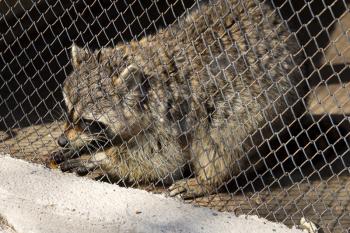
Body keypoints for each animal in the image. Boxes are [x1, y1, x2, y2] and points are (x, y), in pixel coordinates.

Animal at [51, 0, 306, 198]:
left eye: (88, 121)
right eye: (69, 111)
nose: (62, 140)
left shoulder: (169, 117)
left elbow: (162, 160)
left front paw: (100, 158)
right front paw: (80, 145)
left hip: (262, 100)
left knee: (222, 137)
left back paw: (207, 180)